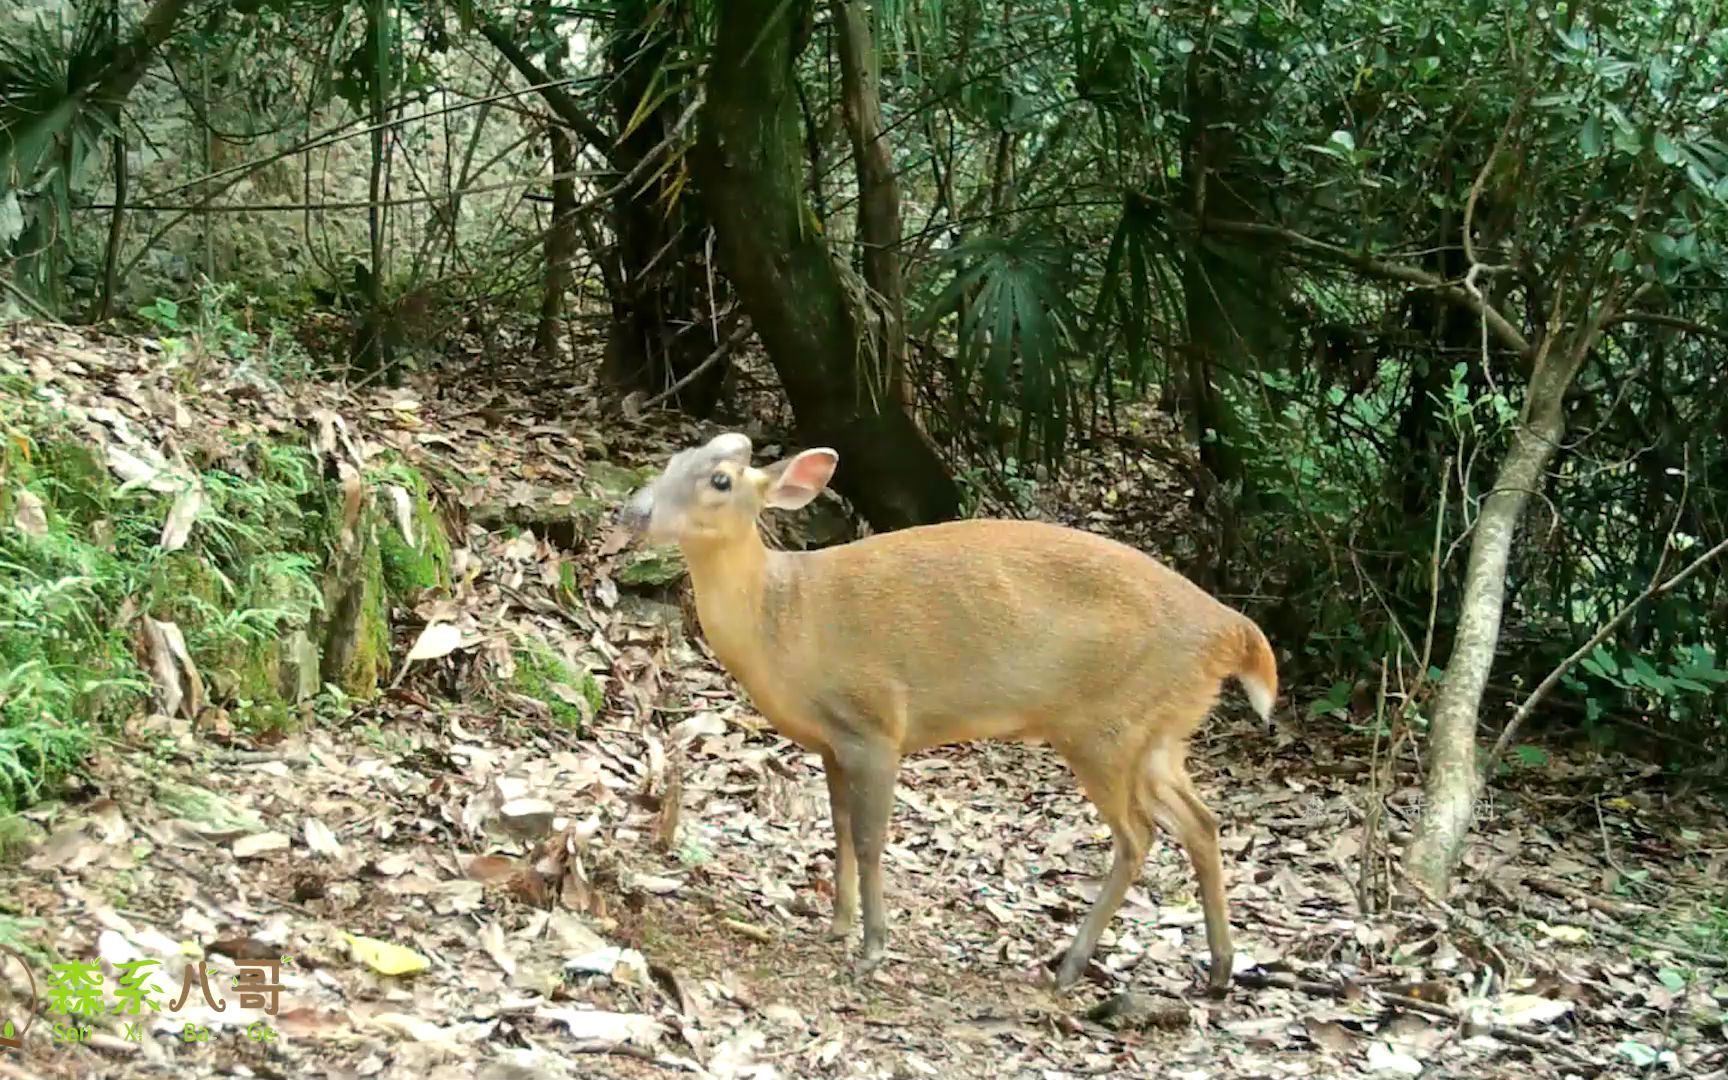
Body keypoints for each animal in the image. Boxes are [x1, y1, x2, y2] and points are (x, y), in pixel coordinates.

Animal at [615, 430, 1278, 995]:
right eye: (672, 461)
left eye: (720, 480)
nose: (635, 512)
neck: (785, 624)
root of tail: (1233, 631)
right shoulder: (831, 742)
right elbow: (838, 829)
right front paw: (836, 926)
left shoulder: (875, 723)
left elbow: (870, 838)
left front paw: (872, 948)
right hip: (1158, 730)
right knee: (1201, 822)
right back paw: (1220, 970)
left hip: (1106, 726)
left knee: (1139, 836)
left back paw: (1070, 967)